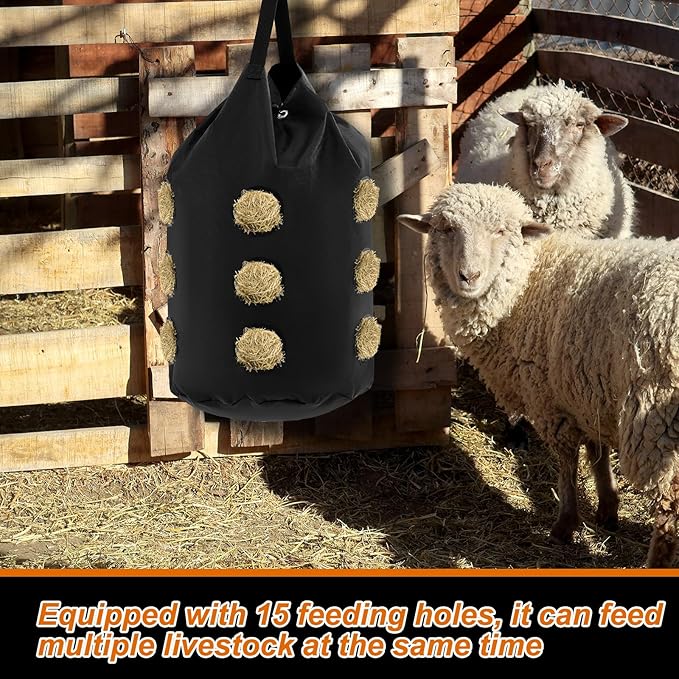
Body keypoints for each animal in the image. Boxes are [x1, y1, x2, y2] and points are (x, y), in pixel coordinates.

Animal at [398, 183, 679, 567]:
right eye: (446, 228)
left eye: (501, 231)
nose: (469, 277)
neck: (525, 284)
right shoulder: (584, 390)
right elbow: (597, 453)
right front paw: (607, 509)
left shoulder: (550, 398)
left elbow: (567, 462)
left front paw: (565, 524)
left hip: (655, 421)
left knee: (668, 508)